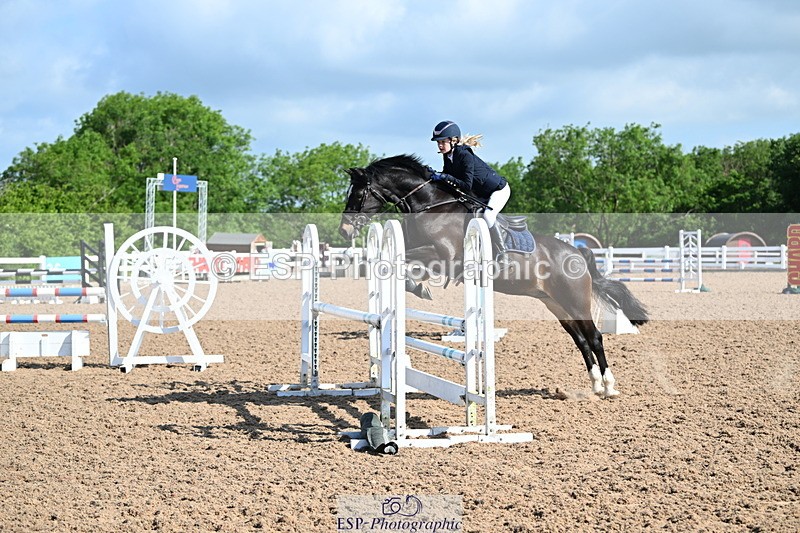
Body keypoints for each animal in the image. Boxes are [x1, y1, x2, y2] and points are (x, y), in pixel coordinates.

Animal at [338, 154, 649, 398]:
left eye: (358, 194)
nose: (344, 230)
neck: (430, 206)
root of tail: (577, 253)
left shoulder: (443, 256)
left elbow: (404, 263)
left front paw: (420, 288)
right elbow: (395, 264)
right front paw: (417, 286)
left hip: (575, 301)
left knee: (594, 336)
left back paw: (608, 386)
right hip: (556, 304)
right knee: (581, 340)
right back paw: (595, 385)